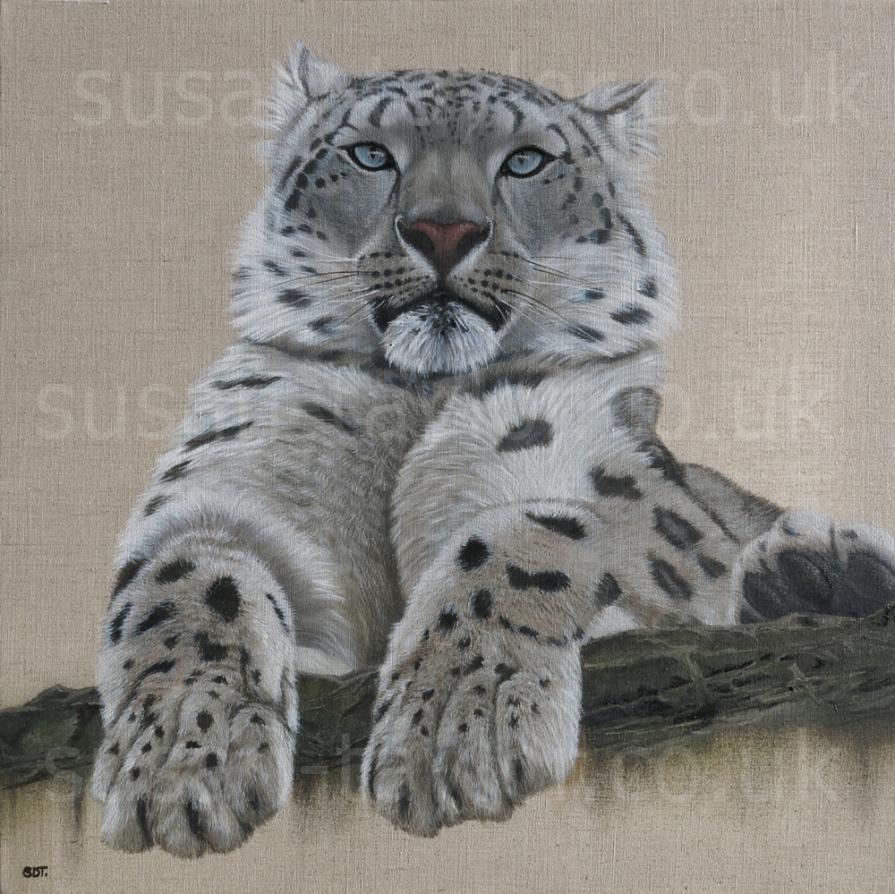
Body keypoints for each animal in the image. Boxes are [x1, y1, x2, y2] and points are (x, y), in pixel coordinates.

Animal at [92, 42, 895, 856]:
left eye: (527, 161)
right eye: (370, 153)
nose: (442, 230)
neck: (418, 400)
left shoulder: (590, 478)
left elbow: (517, 535)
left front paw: (457, 724)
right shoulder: (226, 498)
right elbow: (189, 580)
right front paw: (182, 757)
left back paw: (822, 570)